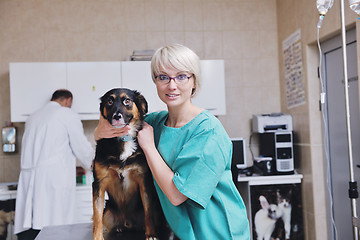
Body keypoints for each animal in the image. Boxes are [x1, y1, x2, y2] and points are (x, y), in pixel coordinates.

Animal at [92, 88, 169, 240]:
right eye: (109, 101)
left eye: (127, 101)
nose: (117, 116)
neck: (123, 139)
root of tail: (128, 222)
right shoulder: (98, 183)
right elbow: (97, 216)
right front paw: (97, 237)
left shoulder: (144, 180)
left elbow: (148, 211)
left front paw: (151, 234)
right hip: (108, 212)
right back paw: (119, 227)